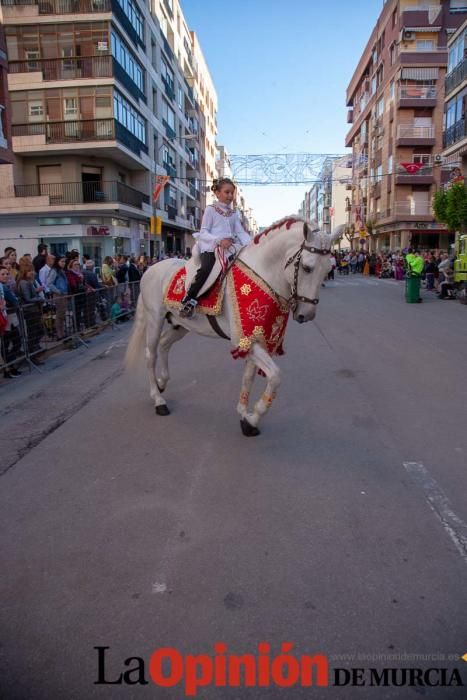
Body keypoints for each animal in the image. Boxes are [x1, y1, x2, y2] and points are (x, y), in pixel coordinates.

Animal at [126, 217, 342, 438]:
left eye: (327, 270)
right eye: (307, 268)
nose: (307, 315)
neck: (262, 275)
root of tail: (150, 269)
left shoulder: (255, 338)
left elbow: (248, 377)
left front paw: (244, 415)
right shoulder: (244, 339)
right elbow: (275, 377)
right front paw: (254, 417)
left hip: (181, 324)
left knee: (164, 344)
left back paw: (162, 382)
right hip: (155, 318)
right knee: (150, 354)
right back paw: (158, 399)